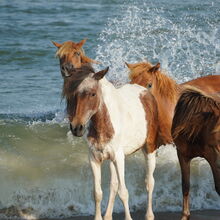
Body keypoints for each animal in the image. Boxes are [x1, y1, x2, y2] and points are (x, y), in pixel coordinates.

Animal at [62, 64, 160, 219]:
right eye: (71, 95)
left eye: (93, 94)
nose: (77, 128)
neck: (104, 124)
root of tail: (145, 91)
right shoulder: (94, 159)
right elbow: (98, 193)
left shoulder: (119, 158)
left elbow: (124, 192)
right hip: (111, 159)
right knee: (113, 185)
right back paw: (108, 216)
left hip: (149, 149)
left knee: (149, 182)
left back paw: (149, 215)